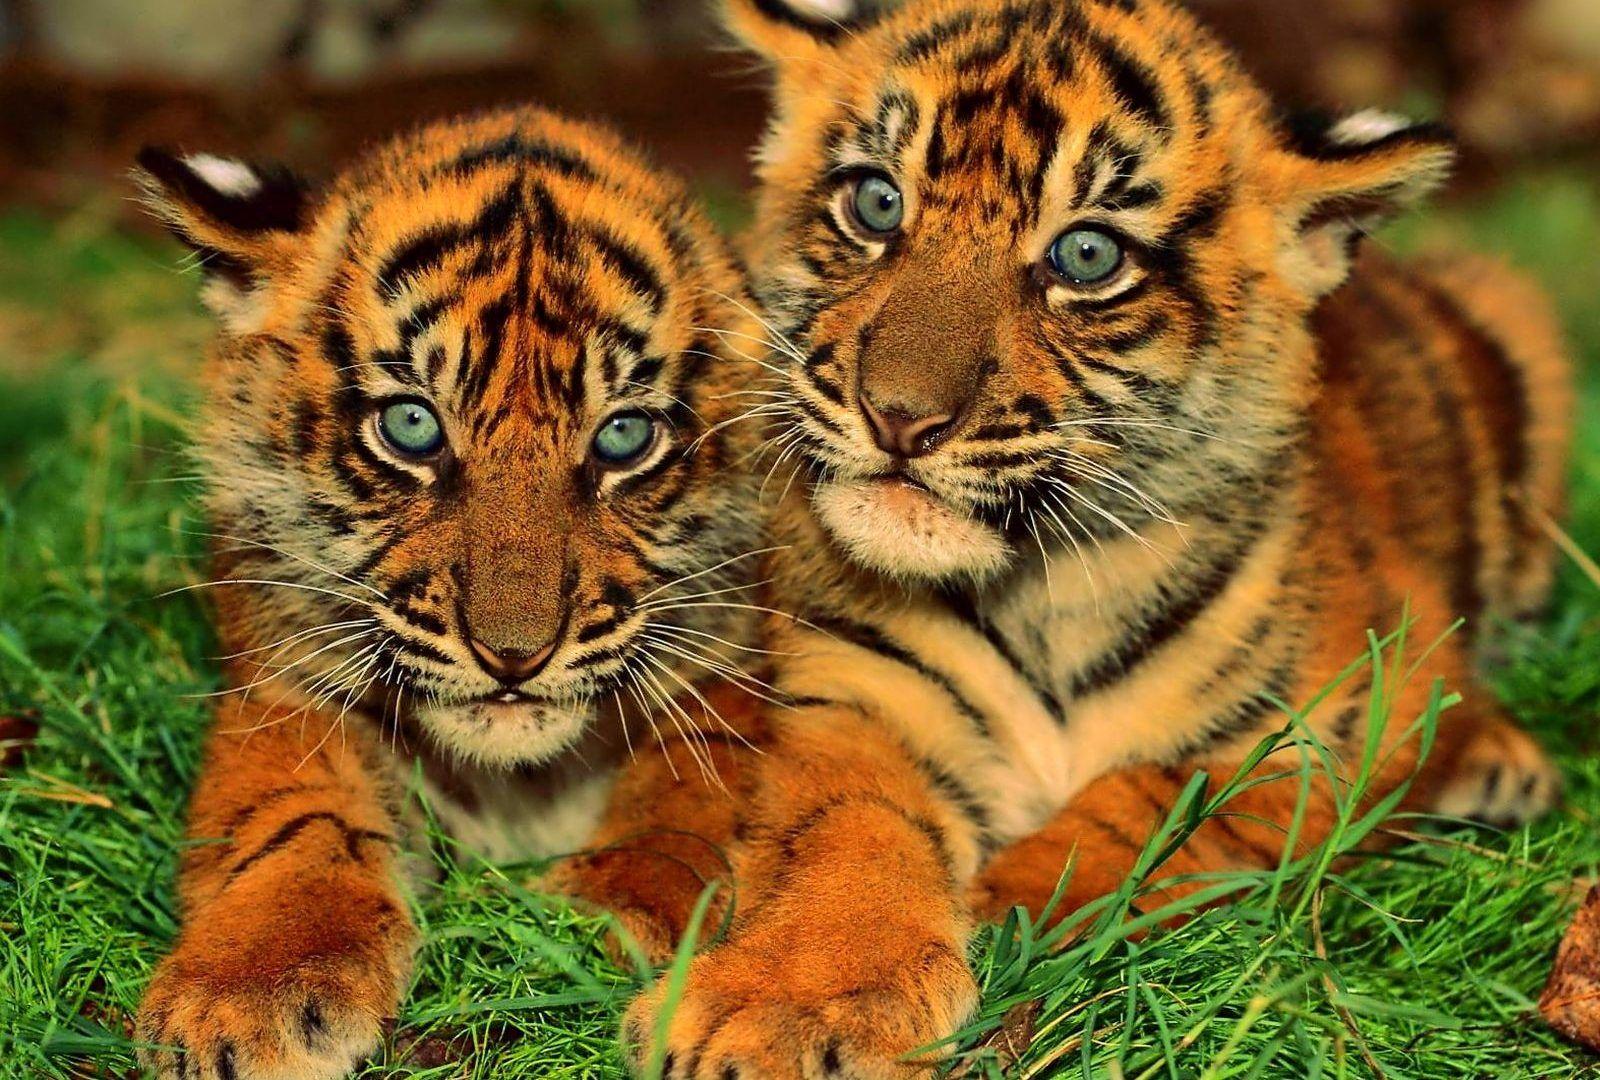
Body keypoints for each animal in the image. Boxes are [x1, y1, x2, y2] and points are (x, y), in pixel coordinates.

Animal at [129, 107, 779, 1080]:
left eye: (623, 437)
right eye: (411, 426)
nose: (514, 655)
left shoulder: (732, 672)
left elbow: (684, 798)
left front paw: (601, 913)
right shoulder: (281, 686)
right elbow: (295, 818)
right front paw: (245, 994)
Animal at [620, 0, 1575, 1074]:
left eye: (1088, 256)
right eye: (875, 203)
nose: (898, 417)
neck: (1043, 589)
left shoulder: (1350, 705)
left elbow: (1157, 799)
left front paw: (1008, 905)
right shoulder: (857, 697)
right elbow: (845, 833)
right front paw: (789, 1003)